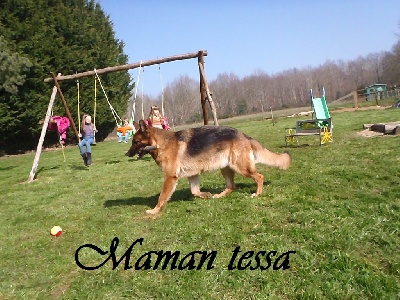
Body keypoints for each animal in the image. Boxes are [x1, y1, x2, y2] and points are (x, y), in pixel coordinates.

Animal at [126, 120, 290, 216]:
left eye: (135, 142)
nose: (126, 154)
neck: (161, 144)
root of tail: (243, 134)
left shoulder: (170, 178)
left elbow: (162, 197)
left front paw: (154, 210)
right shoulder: (192, 175)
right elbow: (195, 191)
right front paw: (206, 195)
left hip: (240, 167)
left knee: (259, 177)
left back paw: (257, 194)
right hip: (225, 167)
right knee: (232, 186)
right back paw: (219, 195)